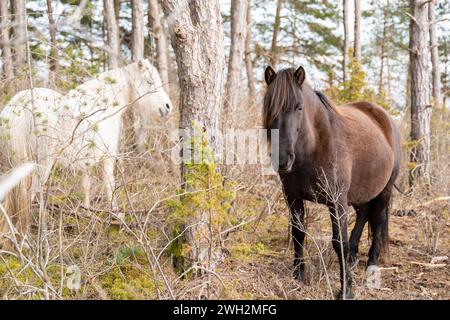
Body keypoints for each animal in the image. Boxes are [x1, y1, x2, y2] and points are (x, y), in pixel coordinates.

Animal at [0, 58, 172, 246]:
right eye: (149, 82)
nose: (168, 107)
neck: (104, 106)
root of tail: (18, 107)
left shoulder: (86, 161)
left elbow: (86, 186)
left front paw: (86, 214)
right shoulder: (107, 157)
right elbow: (110, 186)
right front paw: (117, 217)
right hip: (39, 166)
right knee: (27, 197)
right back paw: (23, 242)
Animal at [264, 65, 400, 300]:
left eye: (299, 107)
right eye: (270, 106)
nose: (282, 160)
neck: (316, 146)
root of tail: (385, 119)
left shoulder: (337, 202)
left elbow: (339, 243)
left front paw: (346, 290)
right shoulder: (293, 197)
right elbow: (298, 234)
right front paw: (298, 276)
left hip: (384, 191)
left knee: (378, 221)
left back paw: (372, 265)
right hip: (361, 192)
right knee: (364, 214)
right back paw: (354, 257)